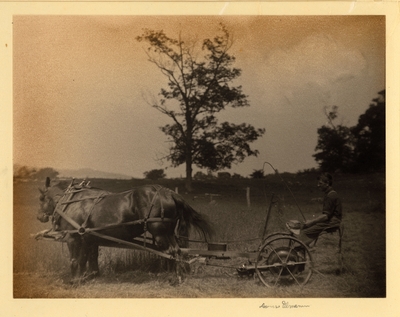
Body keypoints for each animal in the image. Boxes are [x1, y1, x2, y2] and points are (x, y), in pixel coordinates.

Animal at [36, 177, 214, 282]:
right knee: (178, 251)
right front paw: (89, 276)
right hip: (168, 233)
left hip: (160, 233)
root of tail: (170, 194)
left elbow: (75, 260)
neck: (72, 201)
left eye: (41, 198)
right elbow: (88, 258)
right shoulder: (89, 237)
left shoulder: (73, 238)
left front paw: (74, 280)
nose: (39, 217)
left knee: (172, 252)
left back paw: (174, 277)